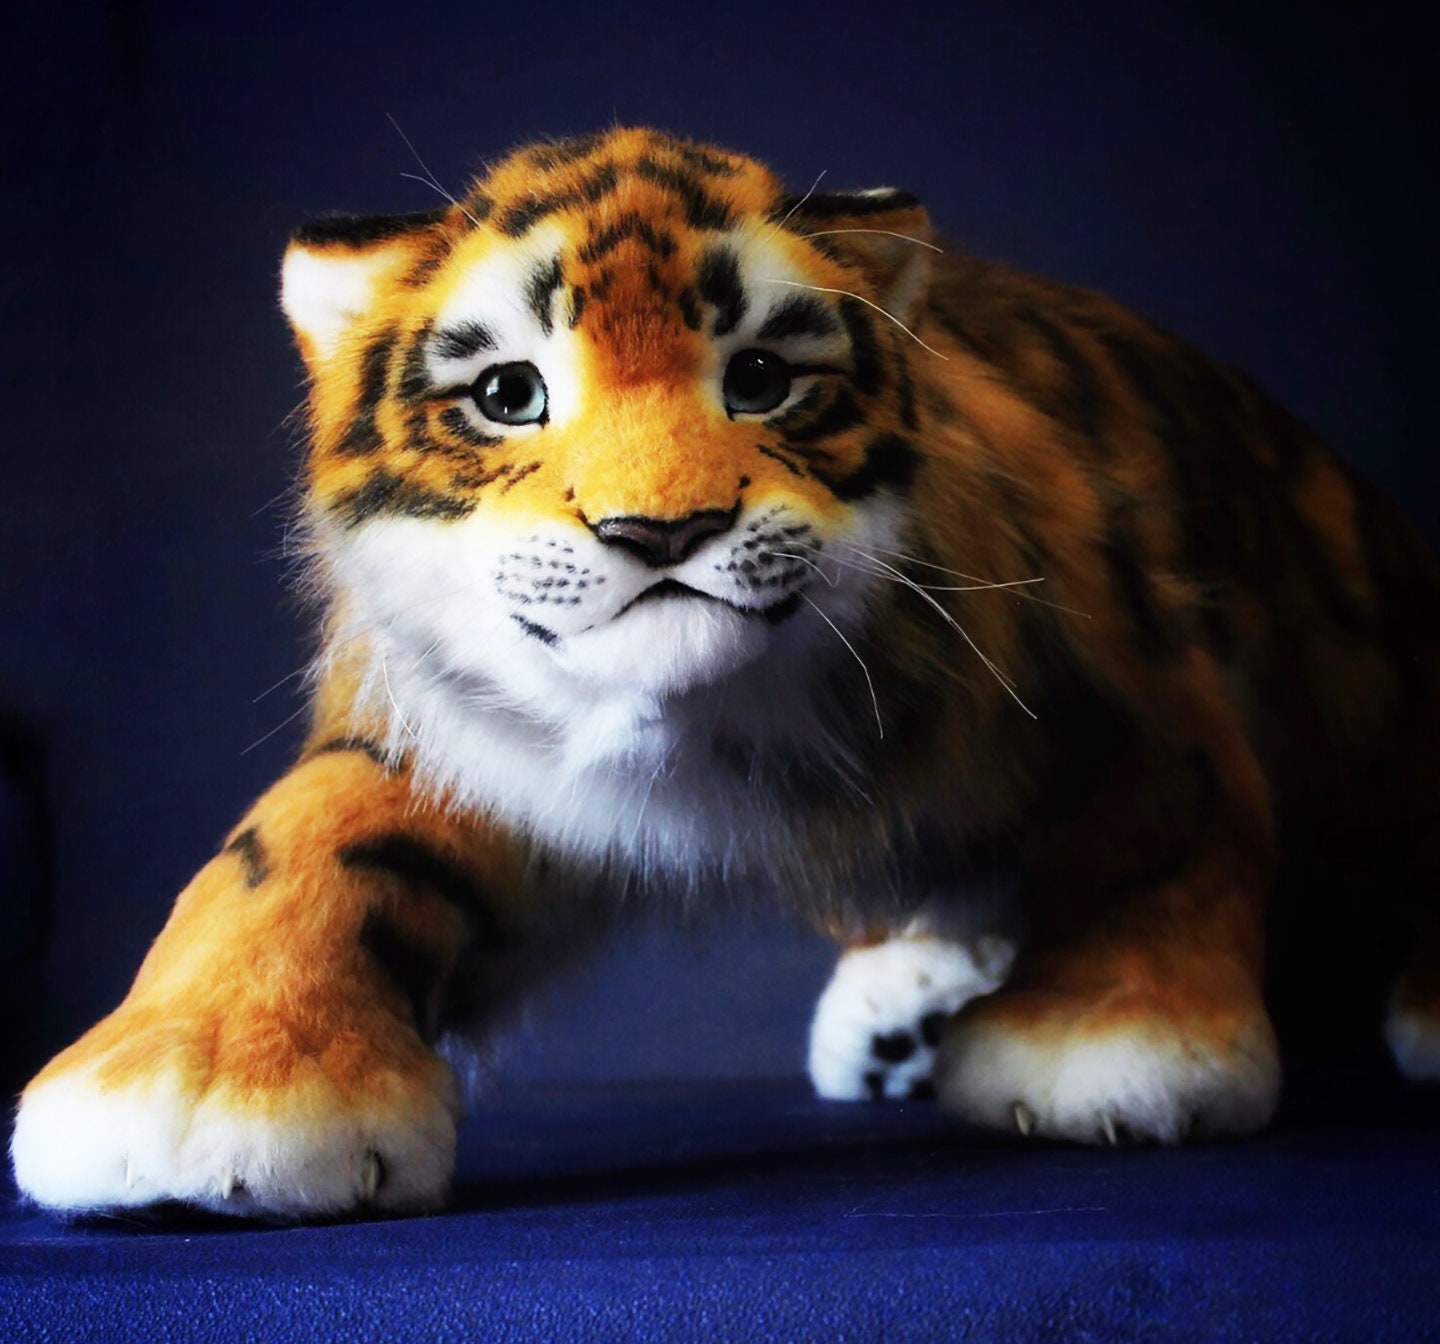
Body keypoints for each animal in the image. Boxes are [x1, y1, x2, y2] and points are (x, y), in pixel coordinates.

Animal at [11, 127, 1439, 1219]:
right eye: (510, 394)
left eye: (759, 378)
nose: (660, 530)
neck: (704, 726)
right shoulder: (464, 736)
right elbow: (303, 853)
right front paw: (193, 1086)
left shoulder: (1119, 670)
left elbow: (1166, 829)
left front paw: (1114, 1045)